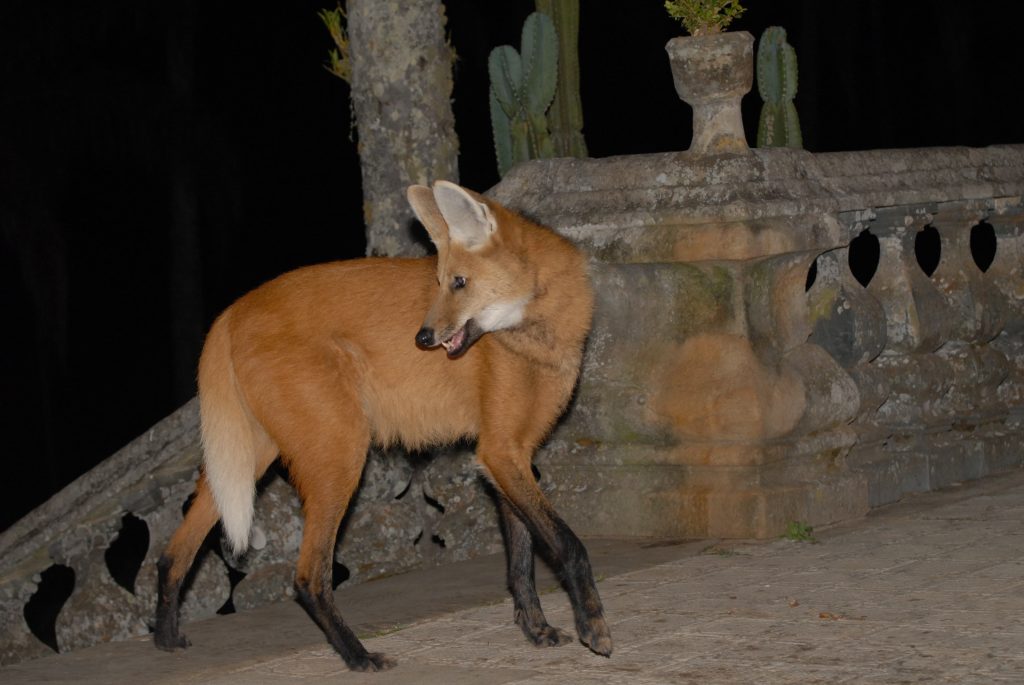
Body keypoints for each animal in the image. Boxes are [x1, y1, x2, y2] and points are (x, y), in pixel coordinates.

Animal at [151, 180, 606, 667]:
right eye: (441, 283)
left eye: (458, 283)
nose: (422, 338)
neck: (533, 339)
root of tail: (231, 310)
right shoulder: (500, 452)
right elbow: (568, 545)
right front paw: (594, 628)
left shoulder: (508, 452)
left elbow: (522, 561)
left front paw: (537, 631)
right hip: (341, 455)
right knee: (307, 576)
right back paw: (358, 656)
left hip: (250, 459)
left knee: (173, 554)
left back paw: (166, 639)